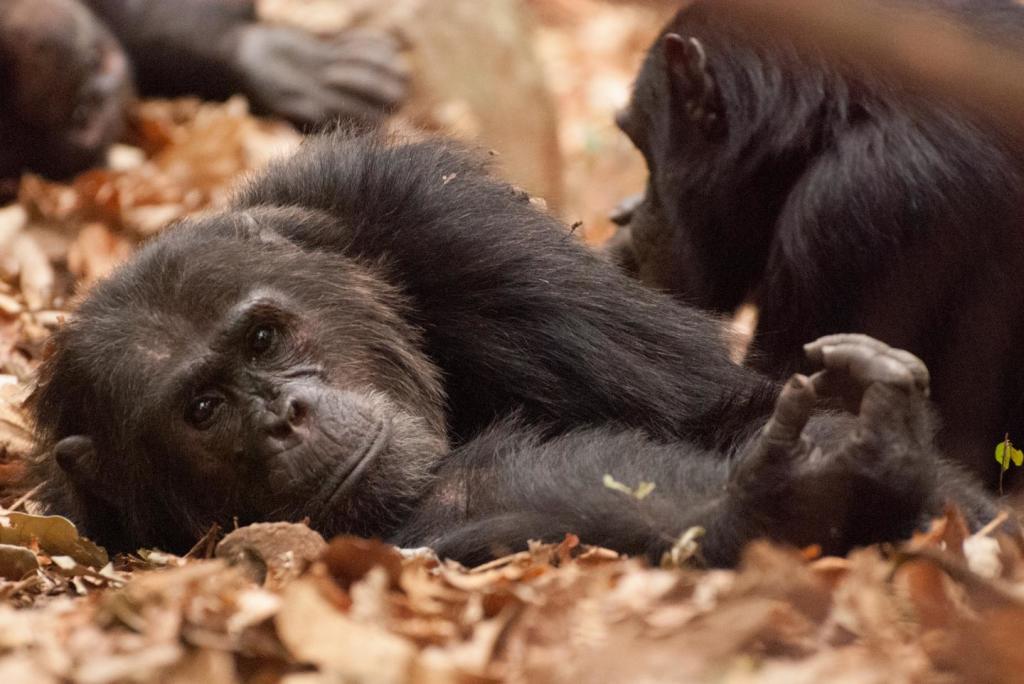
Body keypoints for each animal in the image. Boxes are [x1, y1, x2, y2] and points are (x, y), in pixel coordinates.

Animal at [28, 133, 995, 565]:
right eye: (202, 408)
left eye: (263, 336)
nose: (282, 417)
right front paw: (807, 496)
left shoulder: (443, 220)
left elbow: (721, 409)